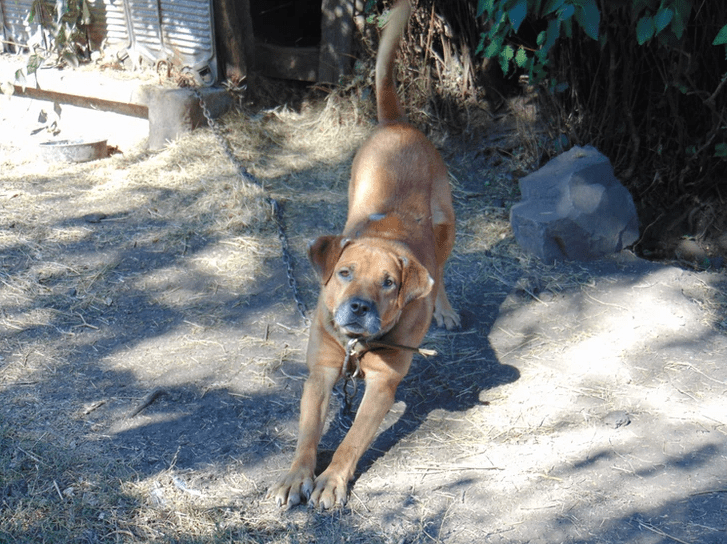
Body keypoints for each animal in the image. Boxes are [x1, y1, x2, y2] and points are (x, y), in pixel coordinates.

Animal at [268, 1, 460, 510]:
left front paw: (332, 480)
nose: (357, 307)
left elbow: (352, 440)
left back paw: (444, 308)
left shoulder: (381, 386)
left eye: (389, 283)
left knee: (442, 270)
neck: (357, 346)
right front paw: (297, 475)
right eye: (343, 273)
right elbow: (307, 435)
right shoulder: (320, 373)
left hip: (447, 223)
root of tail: (396, 123)